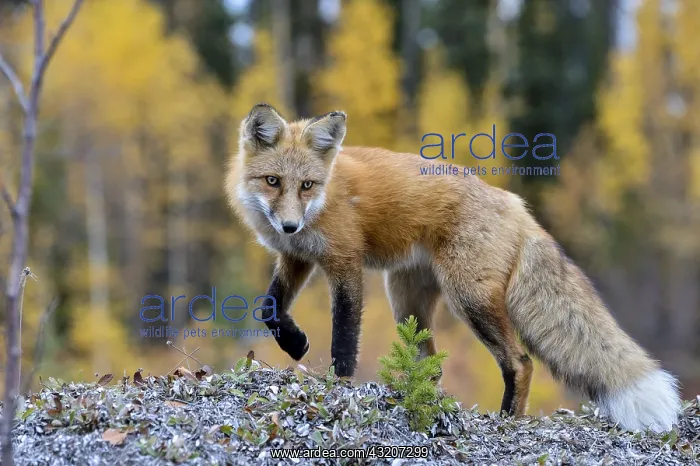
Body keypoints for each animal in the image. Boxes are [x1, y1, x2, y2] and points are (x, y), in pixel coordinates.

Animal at [225, 102, 681, 433]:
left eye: (306, 185)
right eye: (272, 181)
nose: (289, 225)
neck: (320, 204)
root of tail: (516, 205)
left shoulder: (344, 263)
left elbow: (344, 339)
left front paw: (339, 384)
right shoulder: (298, 255)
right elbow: (269, 308)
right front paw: (295, 342)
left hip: (469, 298)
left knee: (520, 361)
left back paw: (507, 418)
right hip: (407, 303)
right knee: (434, 367)